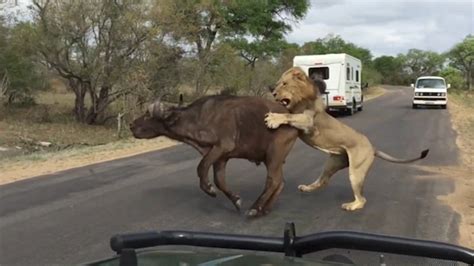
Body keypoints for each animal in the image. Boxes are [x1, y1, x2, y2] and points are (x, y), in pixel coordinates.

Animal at [130, 94, 298, 217]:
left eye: (148, 116)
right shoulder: (221, 158)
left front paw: (209, 189)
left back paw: (255, 208)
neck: (198, 118)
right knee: (280, 182)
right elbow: (220, 181)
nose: (131, 125)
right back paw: (265, 208)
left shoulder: (221, 147)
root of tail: (291, 119)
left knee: (273, 181)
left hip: (274, 155)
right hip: (273, 159)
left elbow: (201, 167)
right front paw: (236, 200)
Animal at [262, 67, 430, 212]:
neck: (298, 100)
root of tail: (373, 148)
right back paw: (307, 188)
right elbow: (289, 114)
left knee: (362, 199)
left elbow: (289, 115)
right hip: (332, 163)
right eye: (278, 83)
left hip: (356, 171)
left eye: (285, 84)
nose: (274, 93)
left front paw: (273, 119)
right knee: (323, 181)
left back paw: (351, 206)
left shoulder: (309, 122)